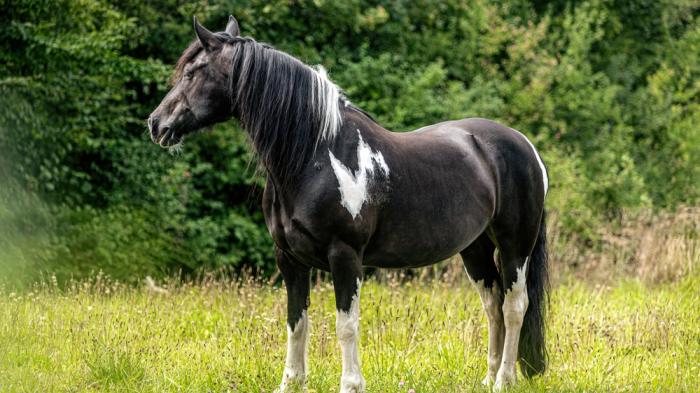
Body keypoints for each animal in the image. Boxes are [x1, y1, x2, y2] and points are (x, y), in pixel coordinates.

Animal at [148, 16, 548, 392]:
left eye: (191, 73)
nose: (156, 124)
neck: (314, 157)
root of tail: (524, 145)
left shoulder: (345, 256)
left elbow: (346, 325)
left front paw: (350, 384)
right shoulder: (289, 259)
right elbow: (296, 322)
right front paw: (291, 382)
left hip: (515, 246)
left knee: (514, 306)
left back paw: (505, 380)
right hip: (474, 248)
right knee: (493, 305)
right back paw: (489, 378)